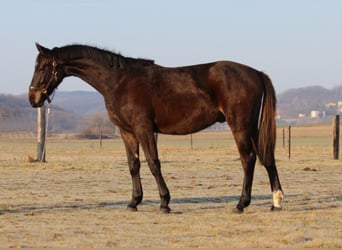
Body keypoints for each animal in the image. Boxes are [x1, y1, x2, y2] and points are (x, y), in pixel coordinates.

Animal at [28, 43, 284, 213]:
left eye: (43, 66)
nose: (33, 98)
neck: (119, 81)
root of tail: (255, 73)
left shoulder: (143, 129)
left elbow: (153, 163)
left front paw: (164, 202)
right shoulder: (127, 133)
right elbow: (133, 165)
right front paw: (134, 202)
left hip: (240, 126)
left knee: (248, 159)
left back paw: (241, 204)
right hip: (251, 128)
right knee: (266, 157)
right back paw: (276, 201)